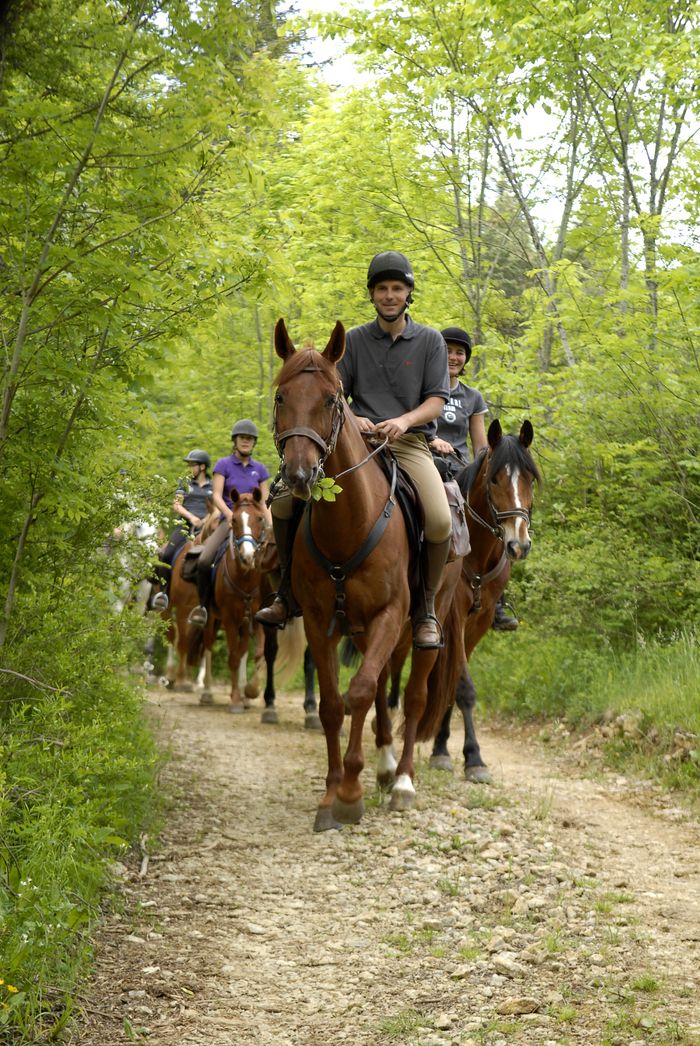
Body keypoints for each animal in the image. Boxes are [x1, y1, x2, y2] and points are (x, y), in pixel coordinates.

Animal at [272, 313, 464, 828]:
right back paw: (383, 766)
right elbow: (334, 705)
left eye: (330, 399)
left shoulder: (388, 615)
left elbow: (358, 693)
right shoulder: (320, 622)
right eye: (281, 396)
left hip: (425, 623)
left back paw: (402, 781)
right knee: (381, 689)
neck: (349, 522)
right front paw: (330, 795)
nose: (299, 476)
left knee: (412, 696)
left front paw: (350, 793)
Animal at [426, 420, 539, 782]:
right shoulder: (453, 618)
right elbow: (462, 686)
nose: (519, 545)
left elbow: (452, 683)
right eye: (494, 479)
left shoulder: (478, 621)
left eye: (529, 479)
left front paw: (443, 749)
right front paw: (473, 757)